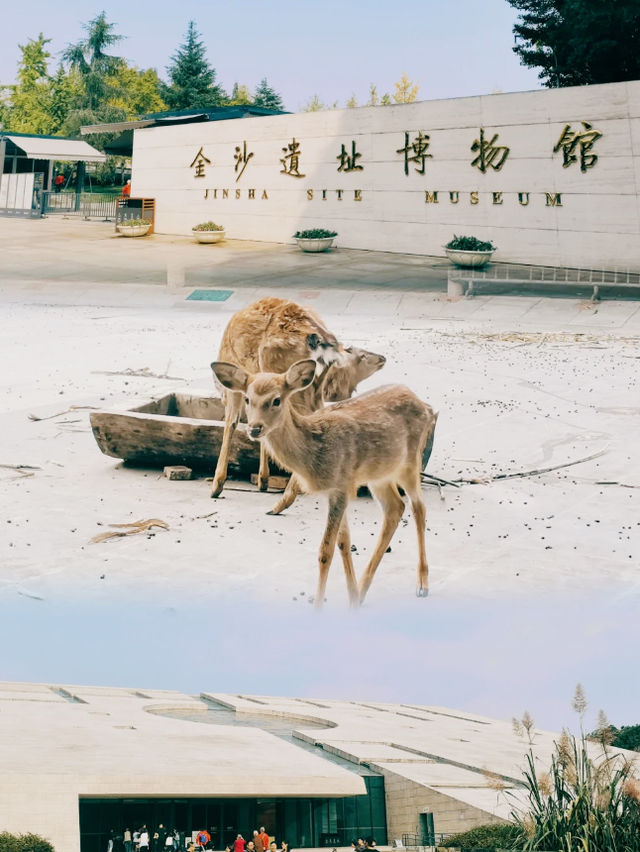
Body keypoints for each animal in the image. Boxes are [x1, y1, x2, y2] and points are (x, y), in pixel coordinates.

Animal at [212, 356, 438, 608]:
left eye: (276, 400)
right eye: (248, 399)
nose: (254, 428)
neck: (314, 453)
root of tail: (426, 406)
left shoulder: (340, 486)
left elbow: (325, 552)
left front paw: (319, 606)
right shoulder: (338, 488)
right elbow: (344, 543)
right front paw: (352, 598)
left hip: (410, 462)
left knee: (419, 508)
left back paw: (422, 585)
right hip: (379, 473)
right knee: (395, 508)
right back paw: (363, 590)